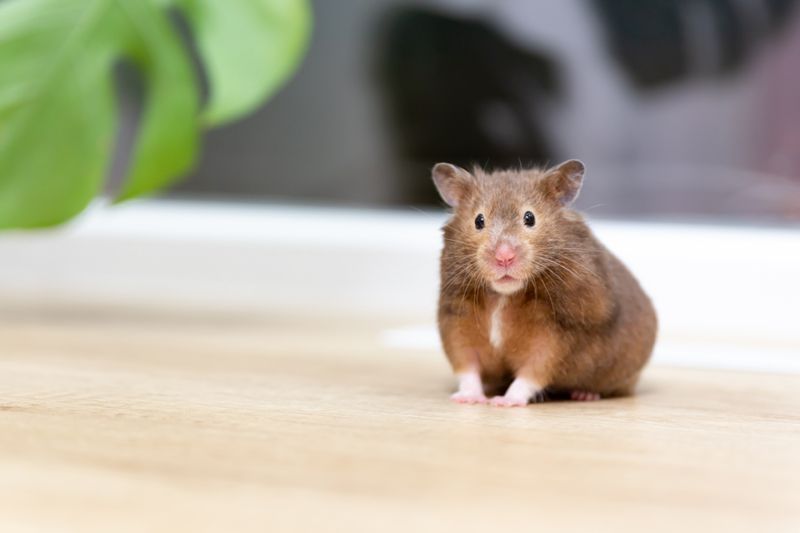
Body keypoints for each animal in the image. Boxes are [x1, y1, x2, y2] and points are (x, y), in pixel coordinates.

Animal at [432, 159, 657, 407]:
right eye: (479, 220)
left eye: (529, 218)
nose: (504, 257)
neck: (504, 295)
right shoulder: (458, 319)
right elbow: (467, 365)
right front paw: (467, 399)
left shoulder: (557, 332)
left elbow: (532, 372)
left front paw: (504, 402)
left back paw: (584, 395)